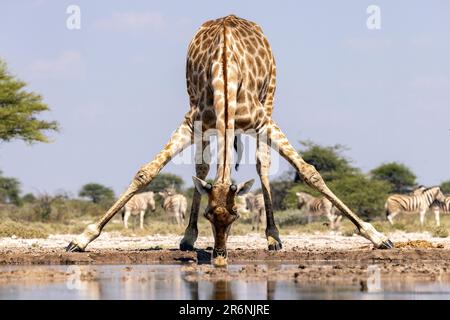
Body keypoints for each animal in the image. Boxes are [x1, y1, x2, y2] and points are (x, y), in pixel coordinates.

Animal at [67, 14, 394, 264]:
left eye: (236, 215)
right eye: (210, 215)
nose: (221, 257)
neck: (225, 74)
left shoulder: (264, 121)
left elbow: (309, 172)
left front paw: (378, 236)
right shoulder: (193, 123)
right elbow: (146, 172)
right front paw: (81, 239)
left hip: (270, 97)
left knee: (262, 165)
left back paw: (273, 238)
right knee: (202, 168)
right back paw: (188, 238)